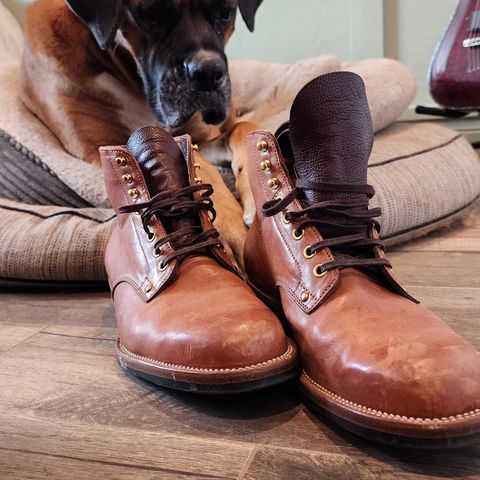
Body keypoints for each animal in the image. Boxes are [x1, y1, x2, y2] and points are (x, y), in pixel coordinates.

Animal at [20, 0, 264, 266]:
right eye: (153, 14)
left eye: (225, 14)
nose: (208, 72)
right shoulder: (104, 148)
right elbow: (196, 163)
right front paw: (228, 226)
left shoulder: (203, 135)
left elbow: (244, 127)